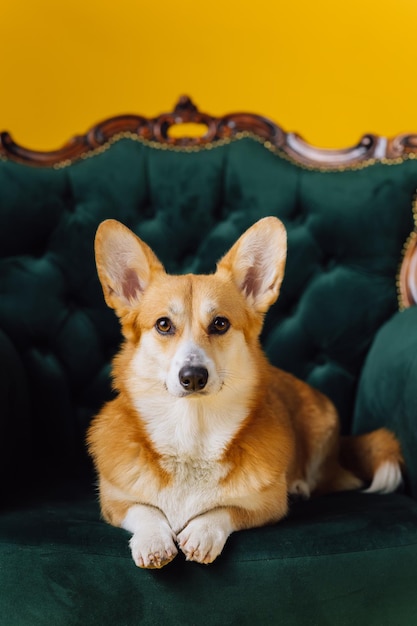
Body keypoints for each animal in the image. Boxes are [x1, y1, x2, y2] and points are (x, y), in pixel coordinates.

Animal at [88, 217, 404, 568]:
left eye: (220, 324)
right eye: (163, 325)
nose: (193, 377)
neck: (192, 433)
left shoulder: (266, 505)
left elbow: (225, 509)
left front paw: (201, 532)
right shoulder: (114, 502)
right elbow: (144, 510)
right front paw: (153, 540)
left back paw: (299, 485)